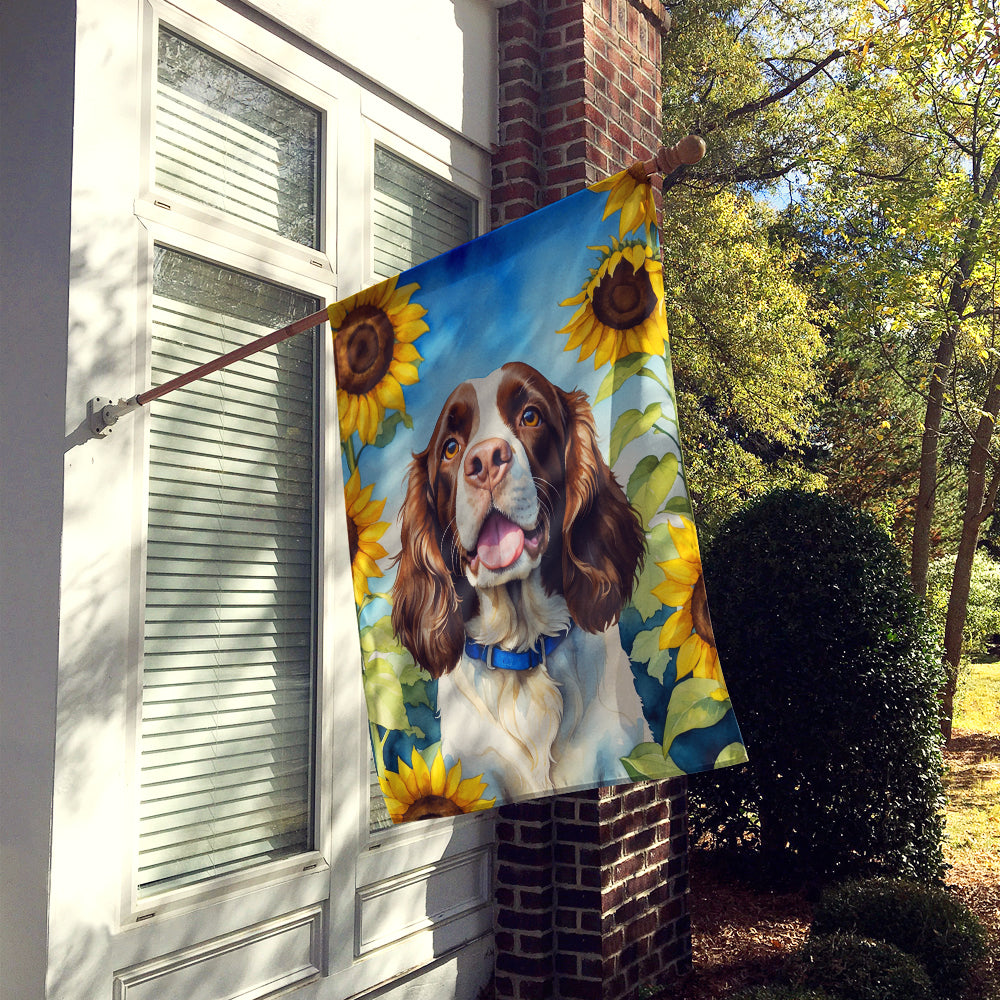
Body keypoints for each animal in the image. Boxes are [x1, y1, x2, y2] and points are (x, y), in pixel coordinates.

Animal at [390, 360, 648, 796]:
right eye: (451, 448)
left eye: (530, 416)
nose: (484, 460)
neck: (523, 647)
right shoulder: (477, 778)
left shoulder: (619, 756)